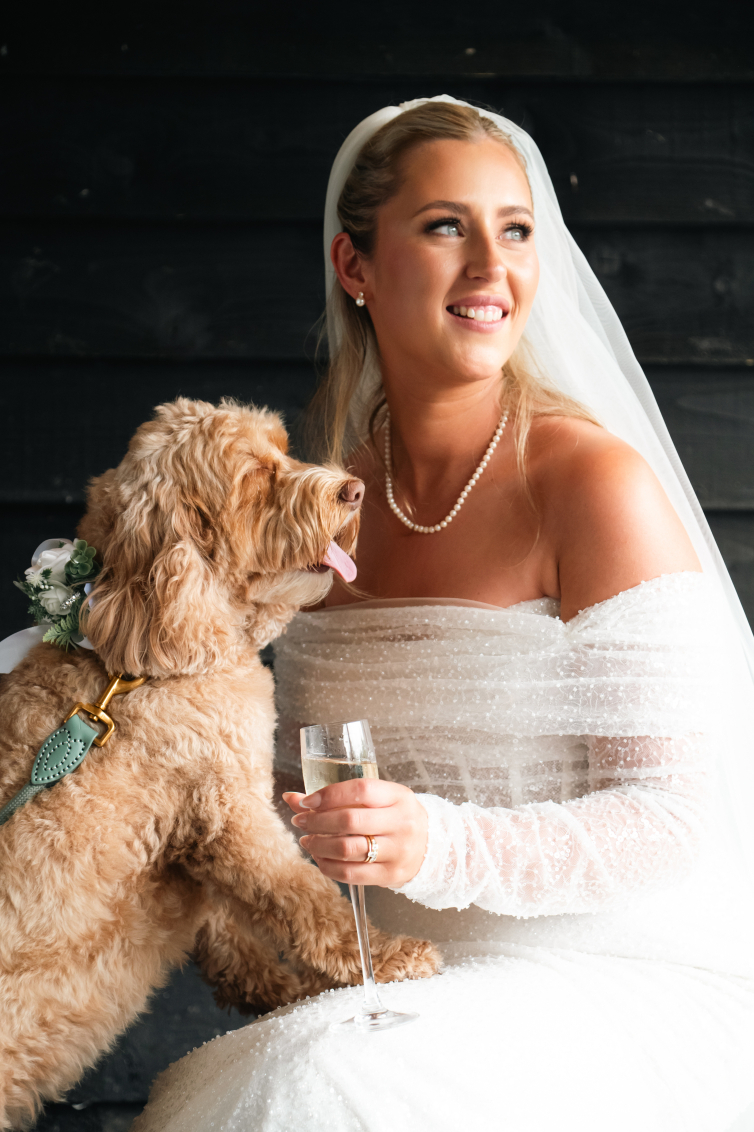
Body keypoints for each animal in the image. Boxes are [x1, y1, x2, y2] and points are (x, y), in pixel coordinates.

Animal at [0, 398, 440, 1130]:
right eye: (255, 476)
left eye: (284, 449)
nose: (353, 490)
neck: (136, 662)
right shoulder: (233, 815)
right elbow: (305, 898)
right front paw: (385, 958)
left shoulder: (195, 833)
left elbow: (232, 928)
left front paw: (284, 991)